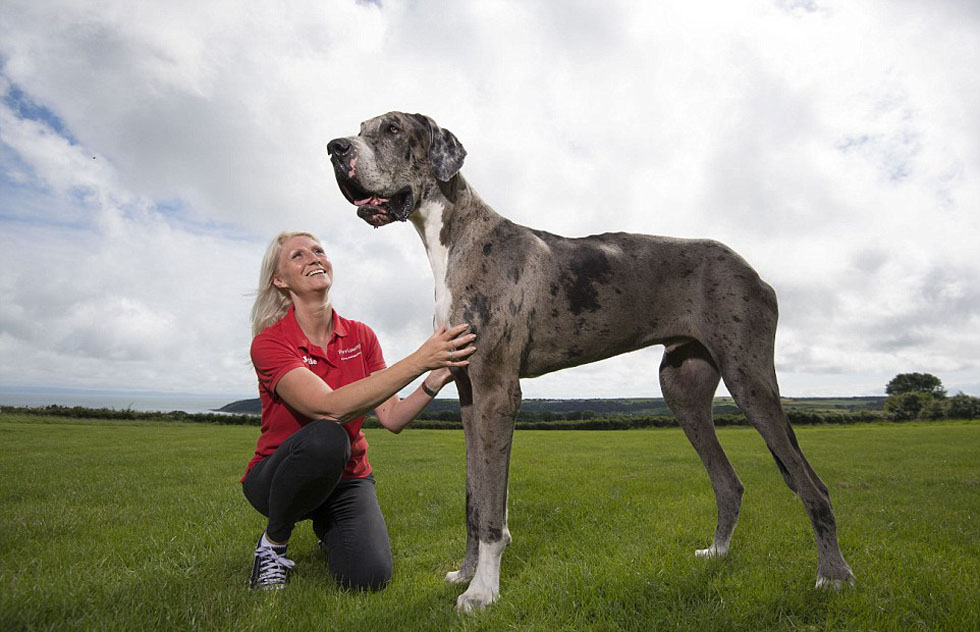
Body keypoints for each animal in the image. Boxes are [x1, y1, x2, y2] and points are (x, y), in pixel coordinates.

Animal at [326, 112, 852, 612]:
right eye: (360, 128)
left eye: (393, 128)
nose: (335, 147)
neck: (455, 238)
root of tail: (754, 271)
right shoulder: (469, 396)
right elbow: (475, 502)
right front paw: (465, 574)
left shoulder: (498, 392)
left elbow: (493, 512)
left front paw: (483, 593)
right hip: (681, 388)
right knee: (730, 484)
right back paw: (718, 554)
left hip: (750, 380)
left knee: (813, 485)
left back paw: (832, 576)